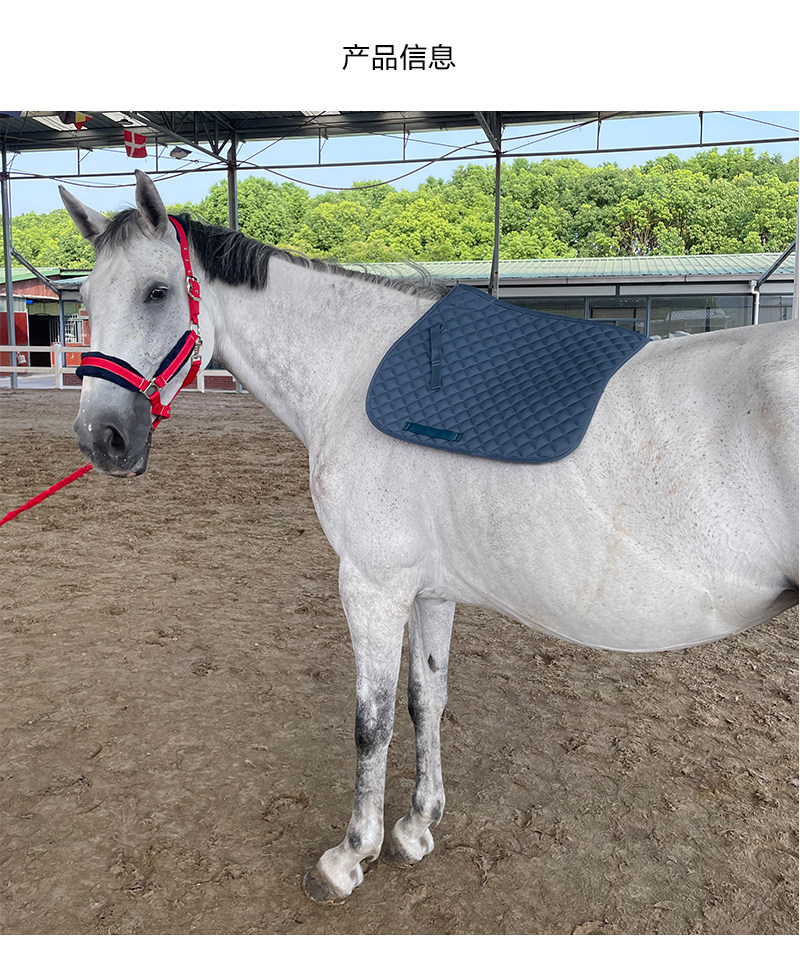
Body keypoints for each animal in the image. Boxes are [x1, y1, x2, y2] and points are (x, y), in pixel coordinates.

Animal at [60, 171, 799, 903]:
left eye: (156, 292)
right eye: (86, 299)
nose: (102, 438)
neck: (351, 373)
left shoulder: (372, 584)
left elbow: (372, 721)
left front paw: (350, 856)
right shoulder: (431, 590)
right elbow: (427, 700)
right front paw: (417, 825)